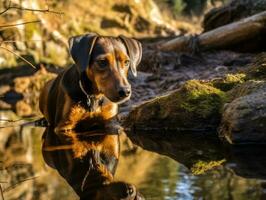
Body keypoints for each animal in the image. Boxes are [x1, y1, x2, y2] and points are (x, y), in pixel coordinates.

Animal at [38, 33, 142, 199]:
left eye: (126, 62)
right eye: (102, 62)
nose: (125, 91)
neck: (93, 96)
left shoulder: (109, 124)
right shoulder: (64, 127)